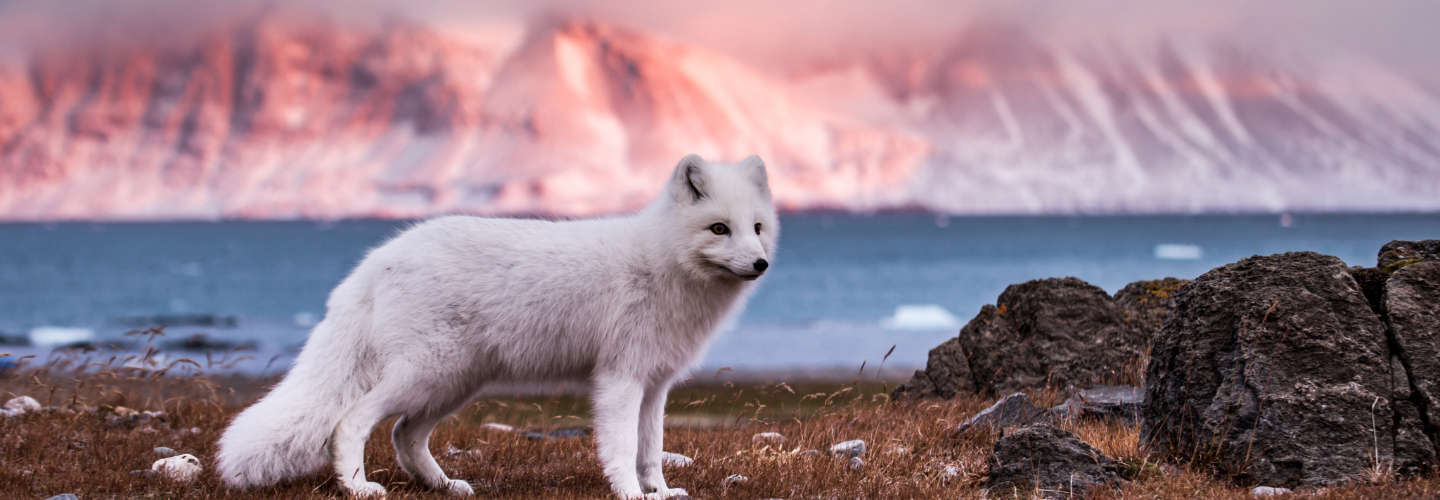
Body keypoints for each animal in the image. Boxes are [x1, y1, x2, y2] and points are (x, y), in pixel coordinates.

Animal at [215, 154, 778, 498]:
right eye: (718, 228)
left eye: (756, 228)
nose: (760, 264)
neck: (665, 263)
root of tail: (377, 259)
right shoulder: (620, 380)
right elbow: (621, 449)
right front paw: (629, 494)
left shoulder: (655, 384)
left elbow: (652, 450)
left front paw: (658, 492)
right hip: (426, 374)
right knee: (351, 422)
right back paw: (357, 487)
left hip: (454, 383)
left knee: (404, 435)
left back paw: (445, 486)